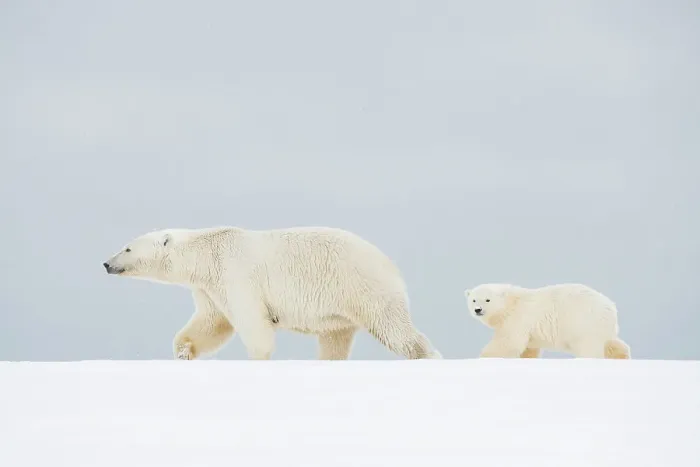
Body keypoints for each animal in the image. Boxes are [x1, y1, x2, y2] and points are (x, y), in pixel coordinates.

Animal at [103, 226, 442, 361]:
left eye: (127, 247)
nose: (106, 263)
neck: (207, 253)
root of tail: (391, 265)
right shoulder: (210, 287)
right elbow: (212, 323)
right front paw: (184, 350)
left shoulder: (236, 274)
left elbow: (253, 324)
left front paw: (258, 358)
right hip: (341, 308)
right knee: (335, 338)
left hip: (362, 286)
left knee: (394, 328)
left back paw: (426, 355)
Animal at [464, 283, 631, 359]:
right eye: (473, 300)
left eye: (487, 299)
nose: (478, 309)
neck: (511, 303)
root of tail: (610, 306)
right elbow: (528, 347)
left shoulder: (518, 318)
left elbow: (508, 342)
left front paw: (484, 356)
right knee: (612, 343)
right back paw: (622, 356)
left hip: (582, 321)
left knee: (588, 346)